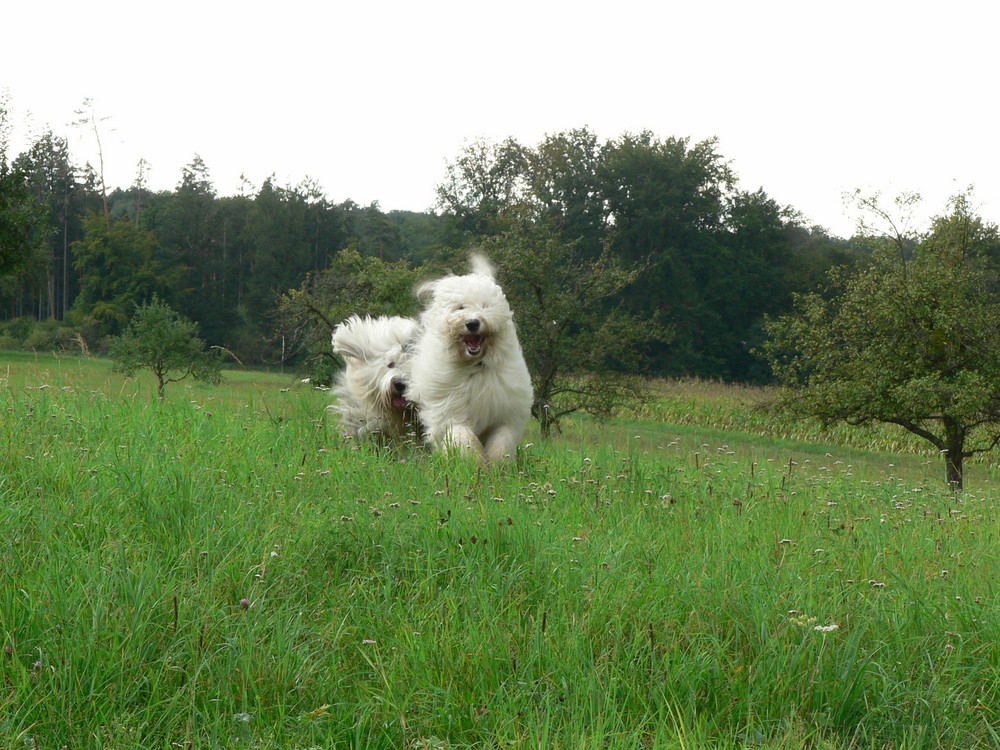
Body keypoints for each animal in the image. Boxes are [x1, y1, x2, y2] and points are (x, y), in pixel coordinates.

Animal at [404, 256, 536, 462]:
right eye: (460, 307)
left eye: (485, 305)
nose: (472, 323)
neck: (476, 367)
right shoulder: (452, 413)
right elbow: (462, 436)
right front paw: (473, 462)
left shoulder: (506, 415)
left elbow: (502, 441)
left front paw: (498, 465)